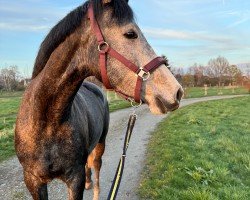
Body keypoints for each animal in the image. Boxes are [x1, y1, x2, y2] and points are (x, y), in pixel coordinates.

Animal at [15, 0, 184, 200]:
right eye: (130, 34)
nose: (176, 92)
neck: (47, 122)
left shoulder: (75, 178)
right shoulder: (33, 181)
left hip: (100, 146)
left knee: (95, 169)